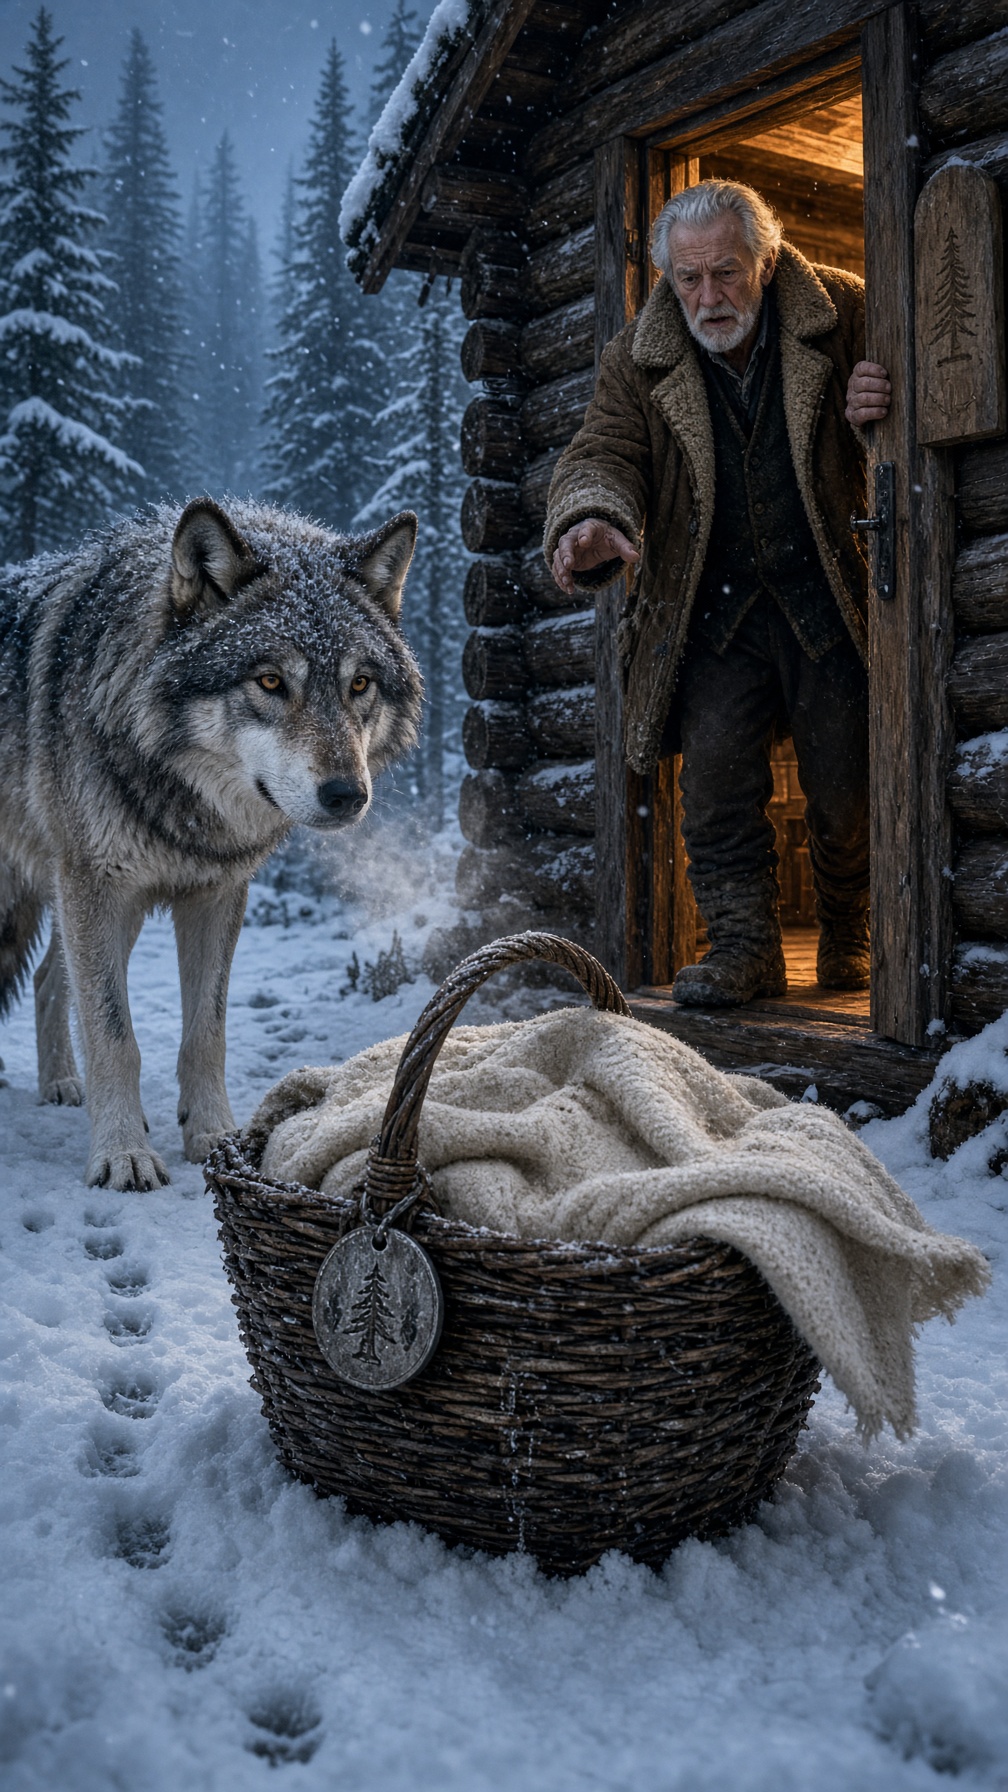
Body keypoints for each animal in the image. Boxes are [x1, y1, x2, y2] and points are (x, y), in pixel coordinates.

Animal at [0, 497, 422, 1191]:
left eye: (359, 685)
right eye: (271, 681)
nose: (346, 795)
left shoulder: (215, 892)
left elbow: (206, 1031)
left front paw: (215, 1137)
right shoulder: (96, 886)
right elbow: (114, 1032)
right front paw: (123, 1155)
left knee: (45, 980)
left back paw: (62, 1084)